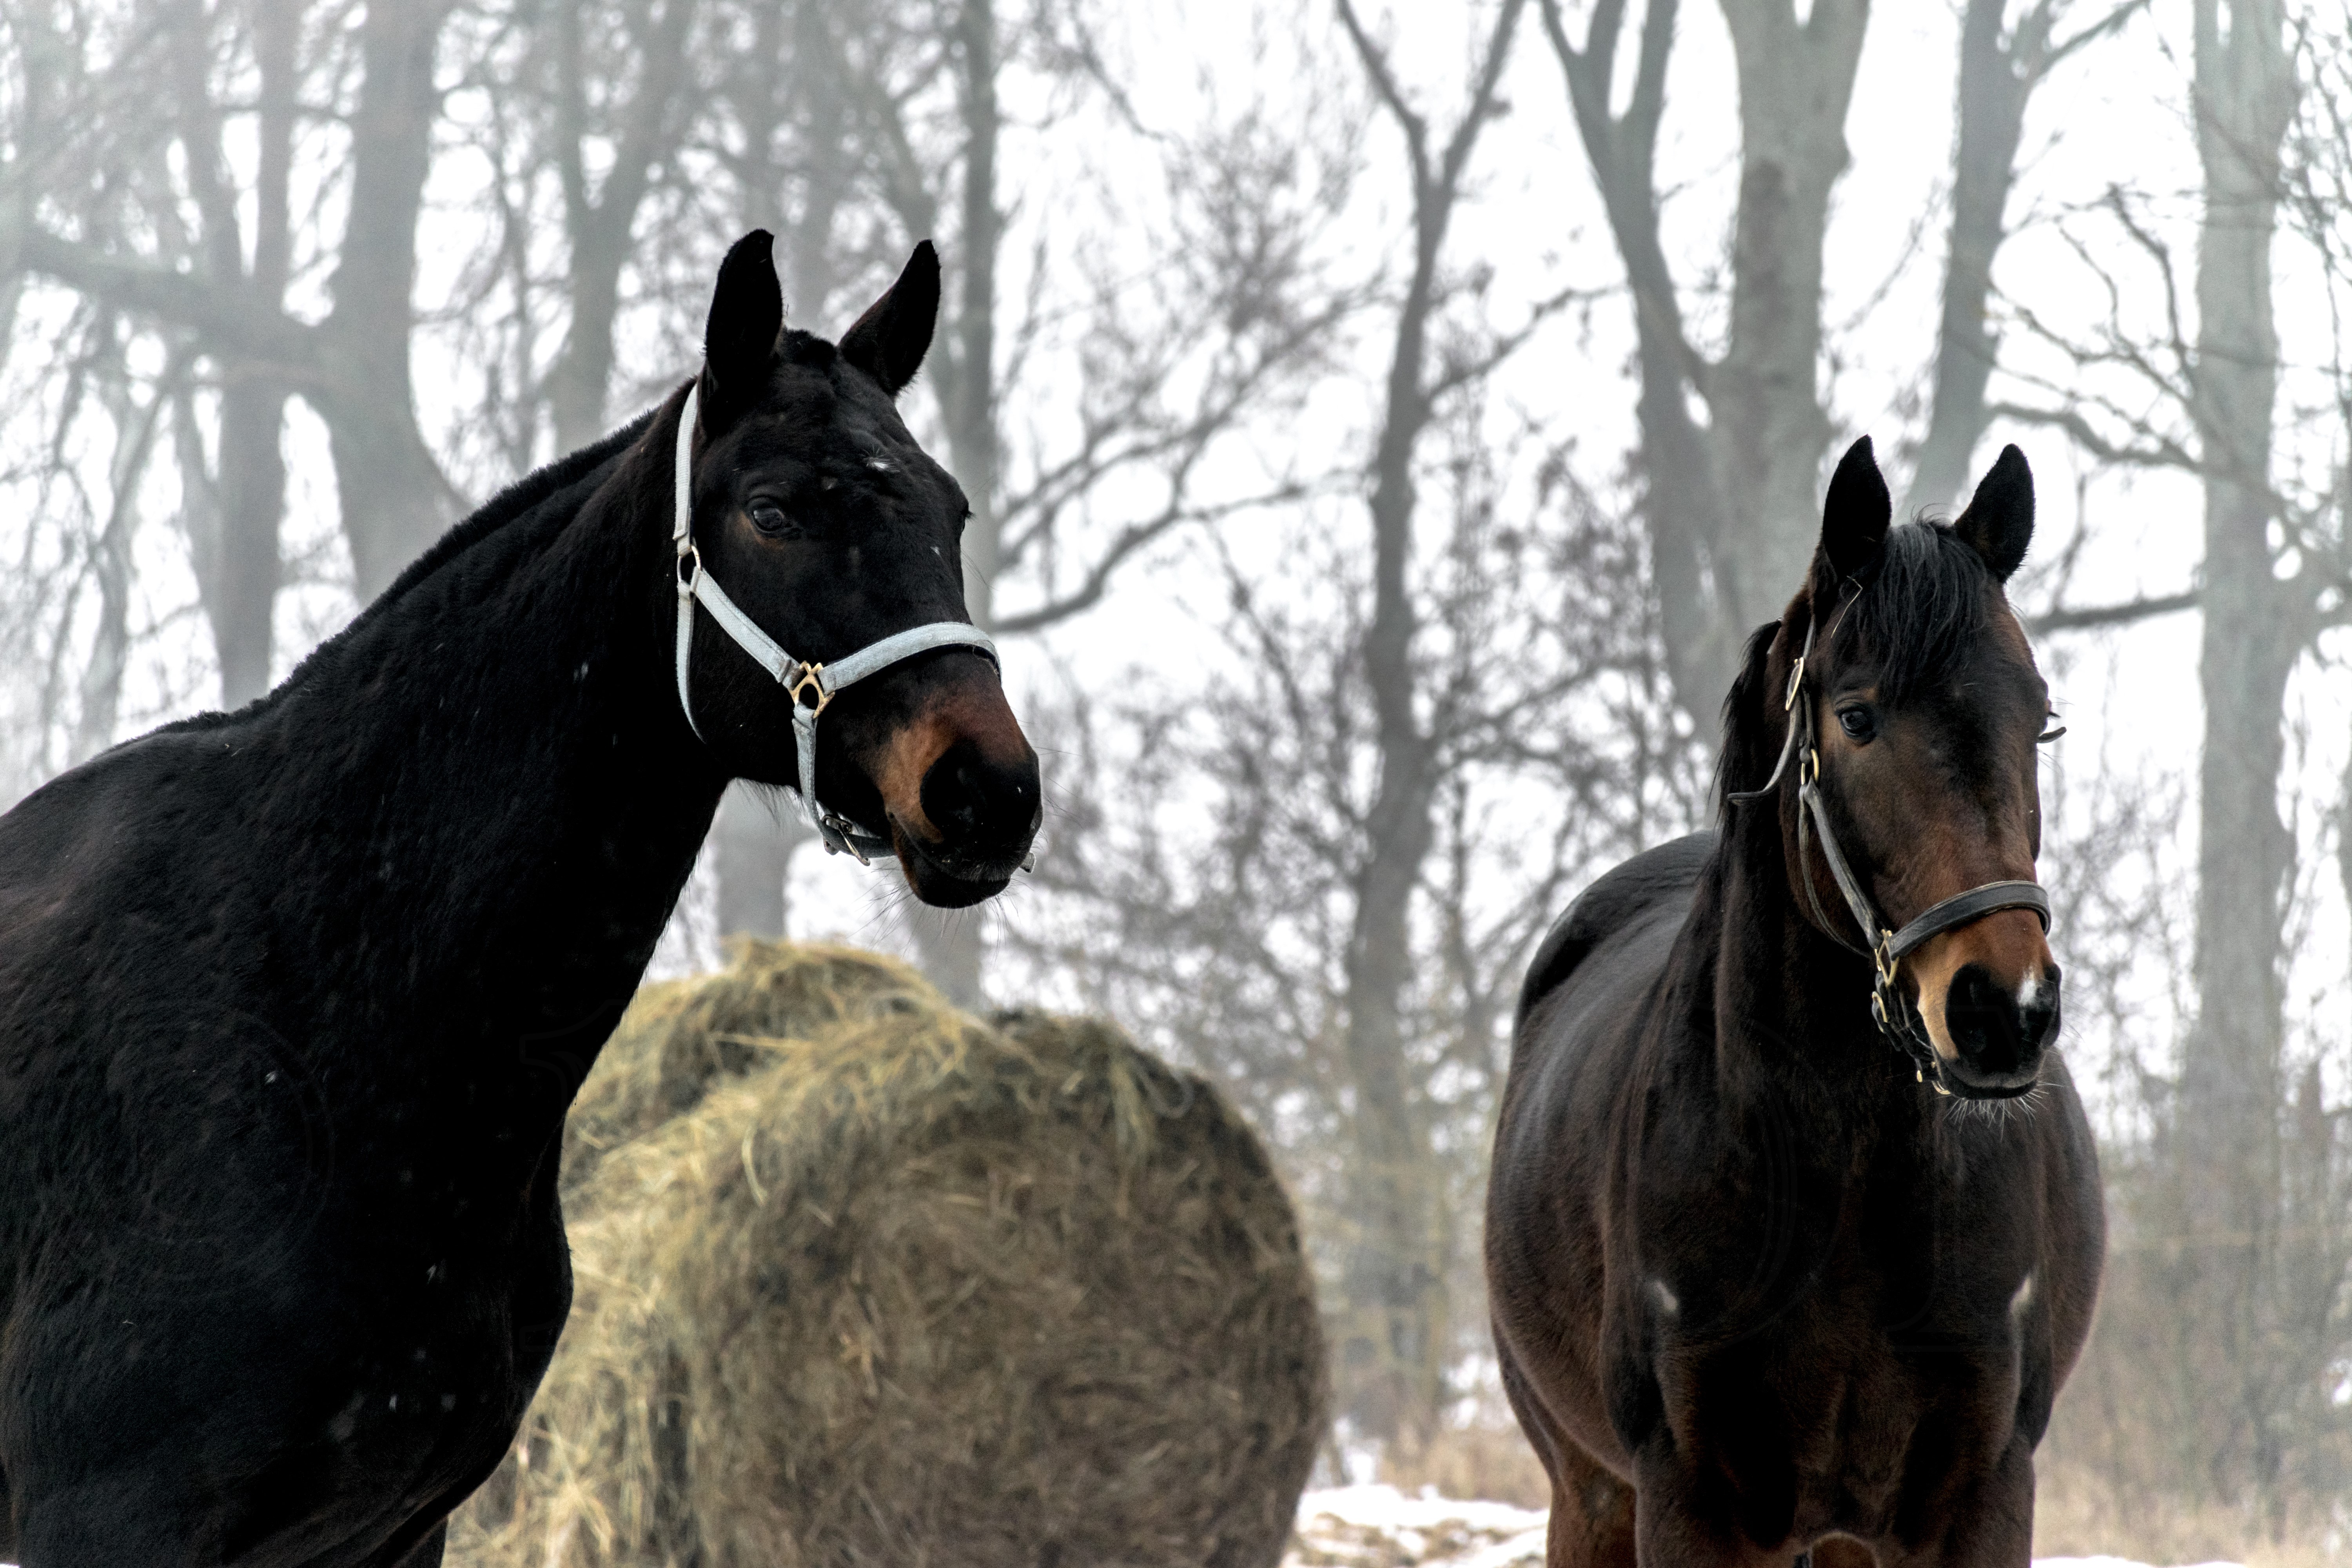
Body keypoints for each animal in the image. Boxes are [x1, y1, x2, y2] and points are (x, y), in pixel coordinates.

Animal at [1485, 437, 2104, 1568]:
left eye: (2038, 720)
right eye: (1856, 717)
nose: (2004, 1009)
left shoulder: (1980, 1498)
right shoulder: (1690, 1502)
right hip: (1589, 1495)